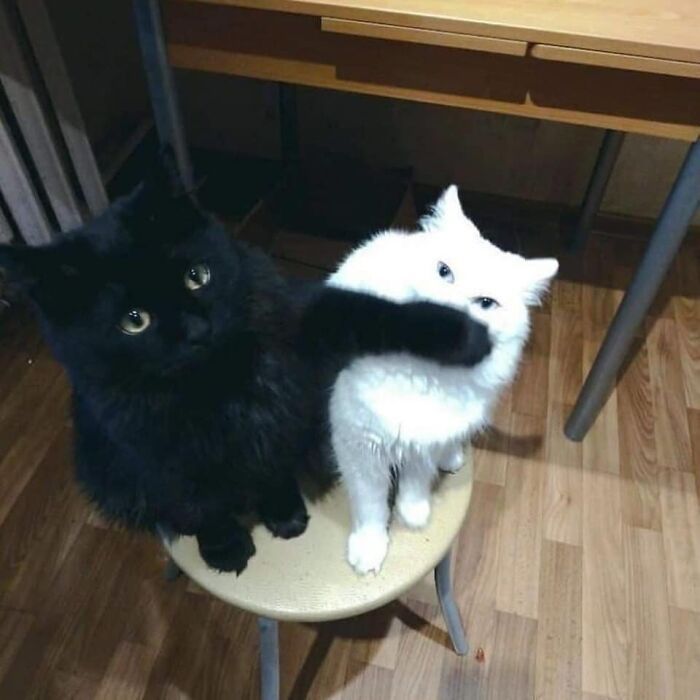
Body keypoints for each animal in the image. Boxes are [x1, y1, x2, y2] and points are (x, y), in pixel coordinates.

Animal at [0, 160, 492, 576]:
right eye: (134, 321)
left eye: (197, 276)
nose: (198, 330)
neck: (220, 383)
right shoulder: (163, 454)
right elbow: (199, 505)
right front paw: (225, 547)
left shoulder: (286, 378)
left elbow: (368, 316)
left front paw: (285, 515)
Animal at [322, 186, 556, 576]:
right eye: (444, 272)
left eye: (485, 303)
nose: (449, 313)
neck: (424, 371)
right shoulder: (360, 448)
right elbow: (371, 507)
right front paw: (369, 551)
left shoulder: (426, 442)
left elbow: (416, 481)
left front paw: (413, 513)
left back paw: (452, 458)